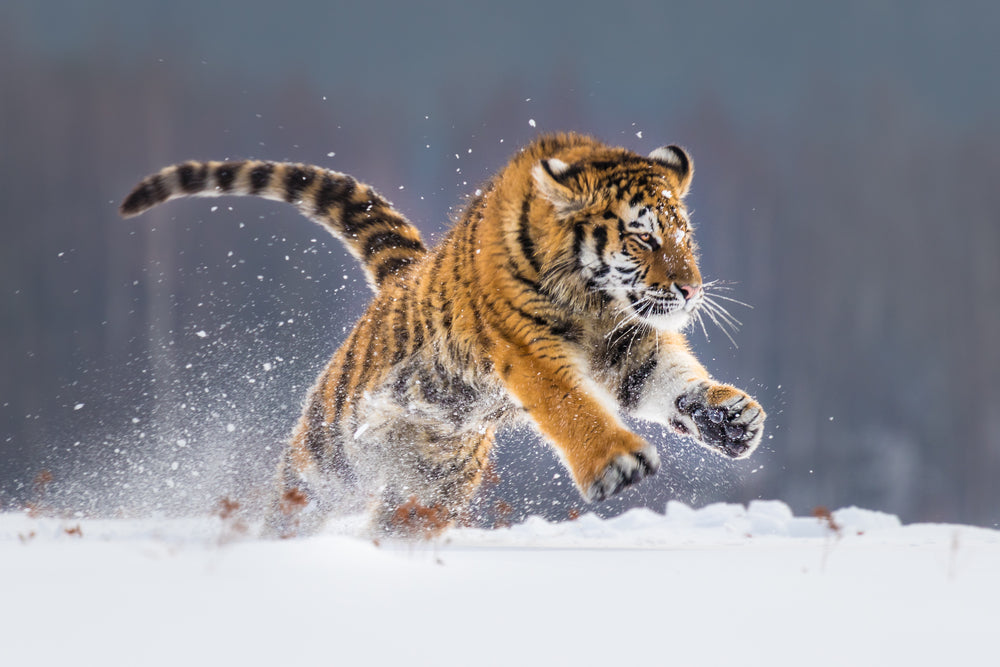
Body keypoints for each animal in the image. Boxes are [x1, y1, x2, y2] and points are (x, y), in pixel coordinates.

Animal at [123, 133, 764, 540]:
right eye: (642, 237)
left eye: (684, 237)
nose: (691, 289)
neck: (594, 300)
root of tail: (401, 275)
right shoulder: (527, 347)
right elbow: (571, 404)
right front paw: (617, 463)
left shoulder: (628, 342)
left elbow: (671, 381)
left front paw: (731, 418)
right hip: (328, 459)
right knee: (294, 507)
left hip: (430, 490)